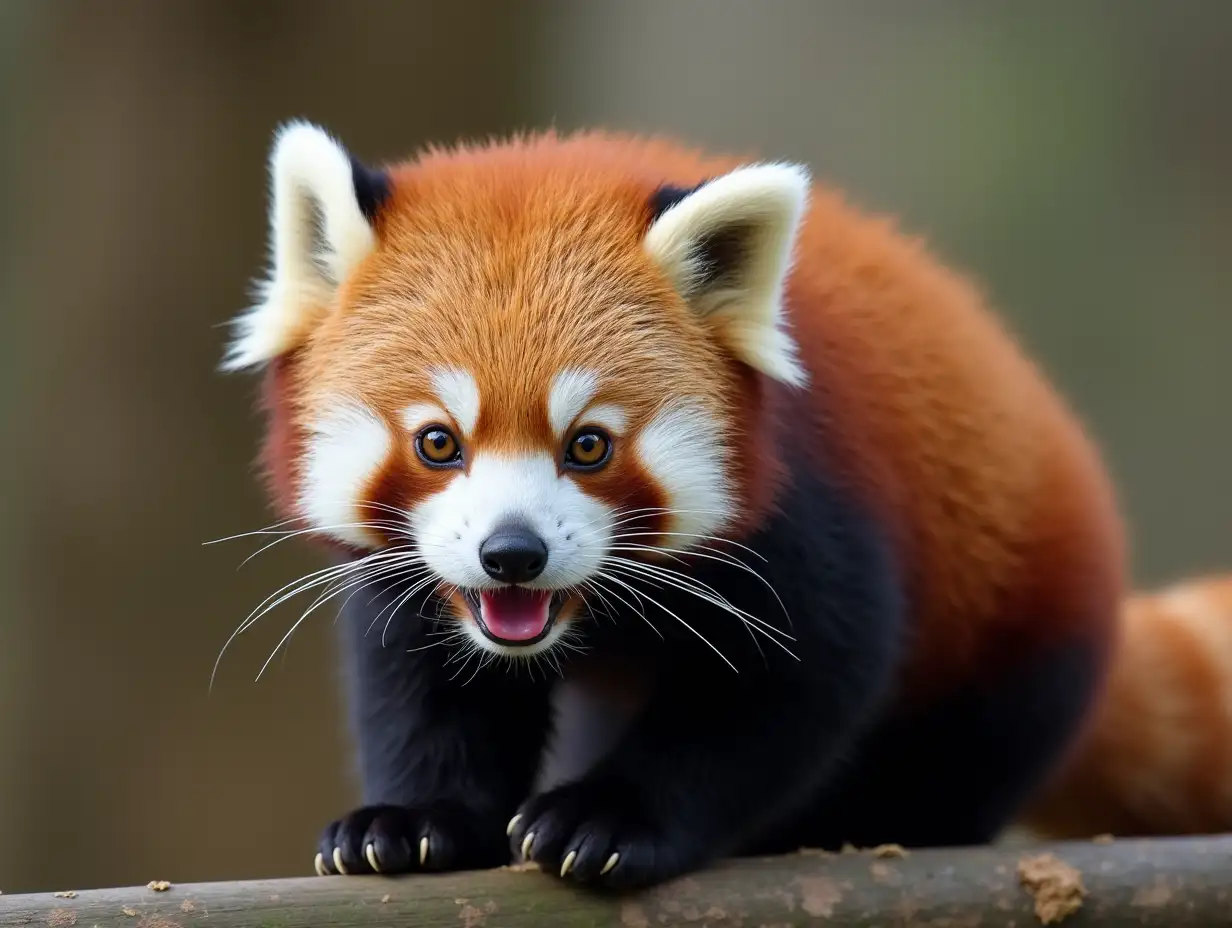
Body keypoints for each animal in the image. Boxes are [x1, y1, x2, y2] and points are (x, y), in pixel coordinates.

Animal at [219, 119, 1128, 887]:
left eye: (589, 444)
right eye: (438, 442)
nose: (511, 554)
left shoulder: (809, 513)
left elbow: (791, 683)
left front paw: (607, 820)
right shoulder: (418, 577)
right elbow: (424, 684)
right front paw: (413, 820)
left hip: (1013, 639)